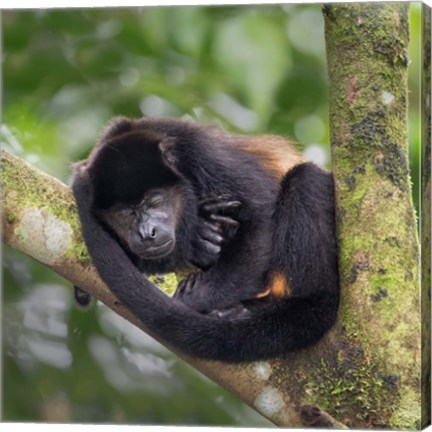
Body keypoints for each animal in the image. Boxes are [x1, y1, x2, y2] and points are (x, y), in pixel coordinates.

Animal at [71, 116, 340, 362]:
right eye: (125, 214)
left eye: (155, 201)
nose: (147, 233)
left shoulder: (200, 152)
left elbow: (260, 215)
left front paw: (193, 301)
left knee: (305, 178)